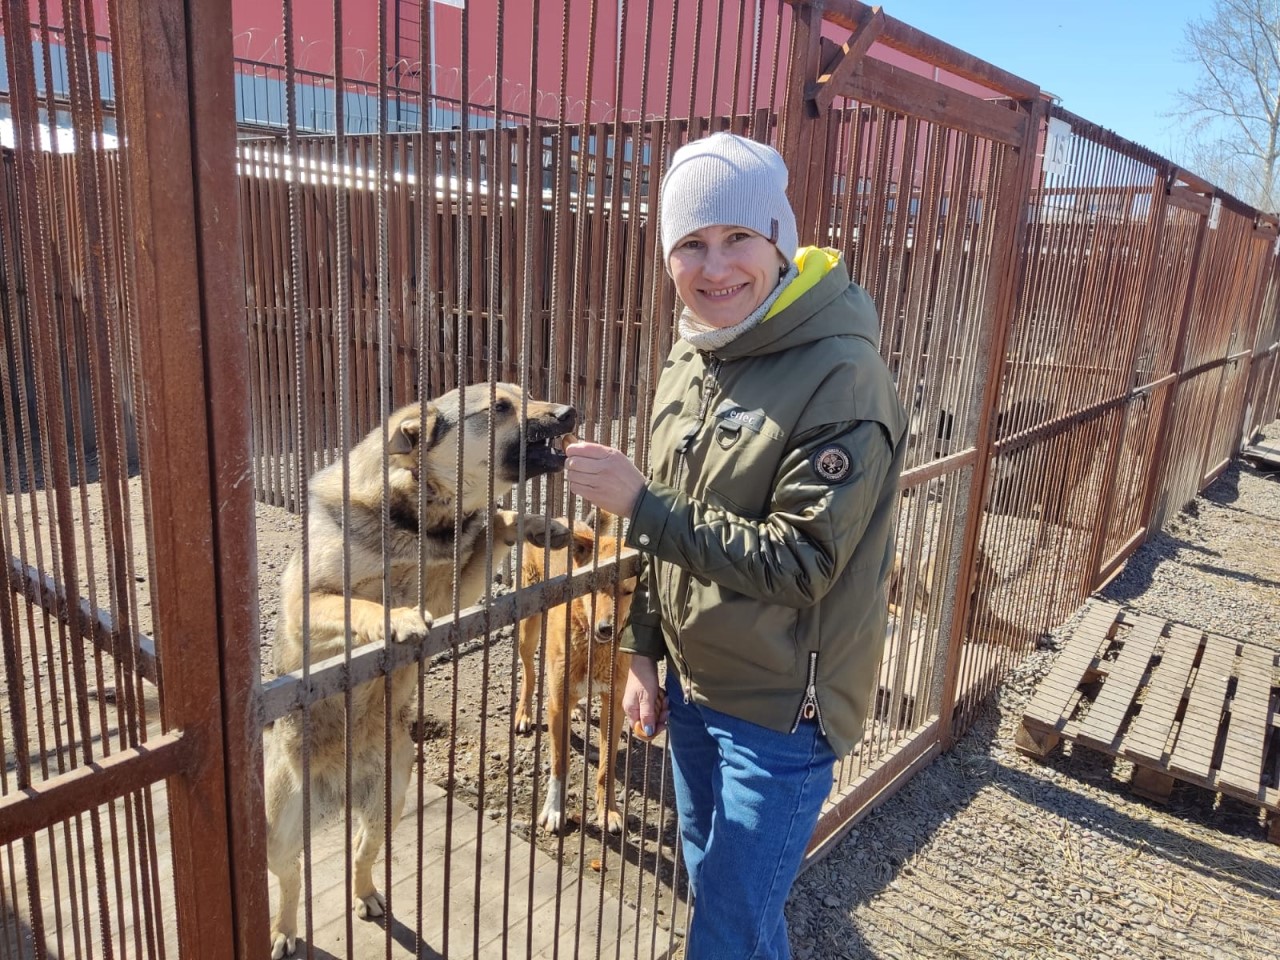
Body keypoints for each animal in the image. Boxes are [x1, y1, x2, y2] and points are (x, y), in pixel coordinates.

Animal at [264, 386, 576, 960]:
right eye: (500, 407)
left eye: (526, 394)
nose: (570, 413)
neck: (421, 523)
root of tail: (340, 785)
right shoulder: (305, 604)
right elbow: (360, 605)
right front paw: (398, 619)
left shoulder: (457, 591)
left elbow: (496, 524)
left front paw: (541, 525)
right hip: (280, 829)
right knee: (291, 878)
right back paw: (283, 930)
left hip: (390, 801)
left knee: (360, 856)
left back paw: (366, 896)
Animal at [512, 514, 637, 839]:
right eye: (594, 586)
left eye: (628, 591)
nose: (607, 628)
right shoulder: (556, 704)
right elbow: (559, 764)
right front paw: (554, 811)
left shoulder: (614, 706)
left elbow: (607, 766)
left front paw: (608, 812)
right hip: (528, 631)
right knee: (529, 673)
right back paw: (523, 713)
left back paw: (579, 708)